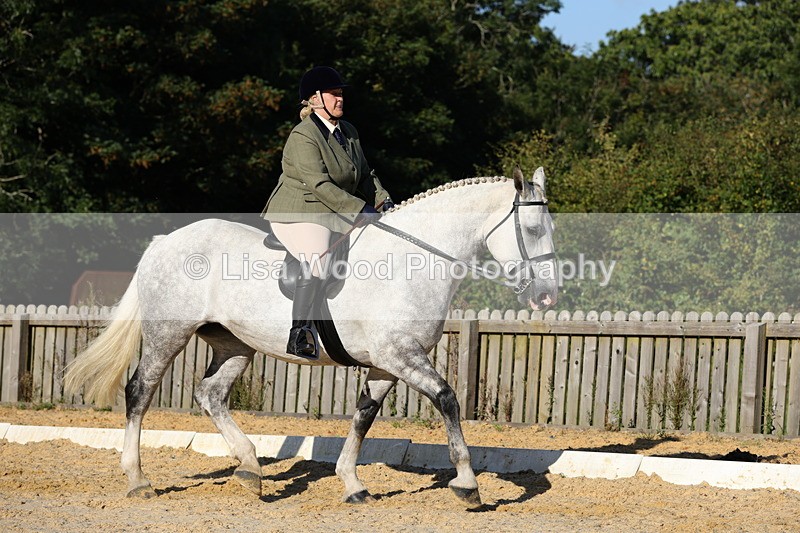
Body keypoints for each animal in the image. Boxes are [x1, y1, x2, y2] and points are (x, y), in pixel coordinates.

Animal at [63, 166, 557, 507]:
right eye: (533, 229)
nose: (547, 296)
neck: (409, 262)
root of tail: (165, 241)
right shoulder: (400, 355)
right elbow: (448, 399)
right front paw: (468, 484)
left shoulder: (386, 363)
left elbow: (364, 416)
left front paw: (353, 484)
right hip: (169, 334)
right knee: (139, 392)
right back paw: (138, 480)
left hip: (233, 344)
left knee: (211, 394)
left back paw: (249, 469)